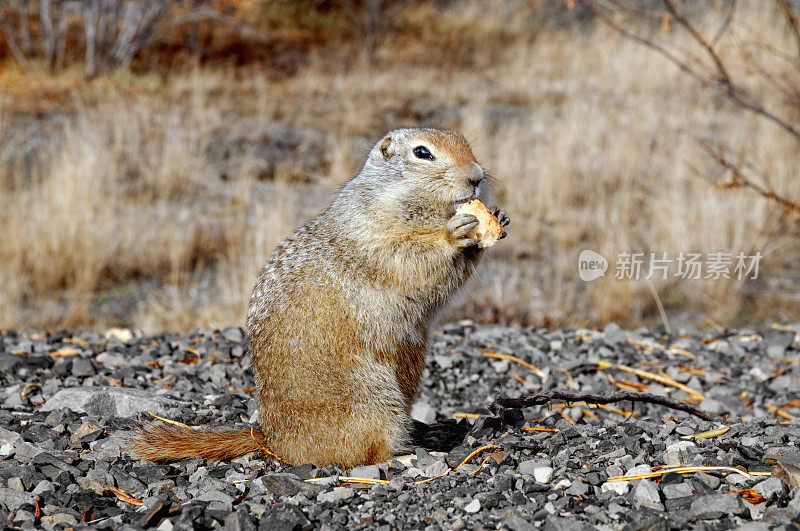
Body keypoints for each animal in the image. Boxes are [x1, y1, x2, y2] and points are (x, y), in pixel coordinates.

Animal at [129, 127, 510, 468]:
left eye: (465, 142)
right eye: (422, 152)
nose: (477, 177)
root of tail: (271, 440)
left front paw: (494, 221)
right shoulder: (371, 231)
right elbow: (407, 257)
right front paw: (455, 233)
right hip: (370, 400)